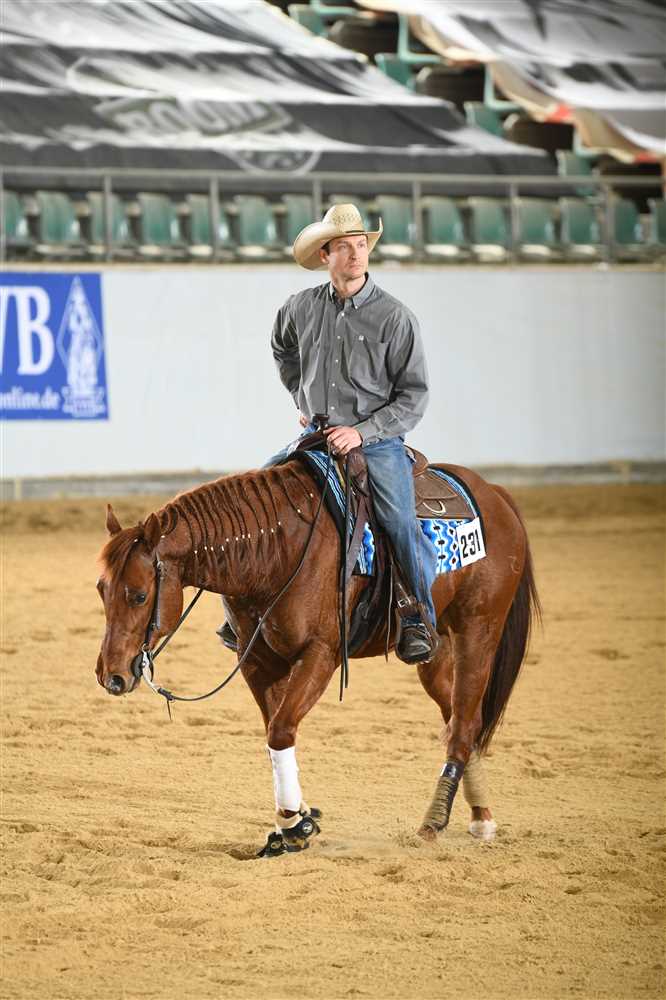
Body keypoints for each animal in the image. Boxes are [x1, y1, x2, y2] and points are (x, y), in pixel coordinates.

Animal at [95, 456, 540, 853]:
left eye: (139, 595)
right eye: (101, 589)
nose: (110, 675)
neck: (274, 550)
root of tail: (495, 494)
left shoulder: (321, 654)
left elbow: (280, 729)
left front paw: (292, 826)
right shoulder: (257, 659)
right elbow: (275, 729)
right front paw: (298, 816)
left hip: (478, 631)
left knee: (464, 723)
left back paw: (432, 822)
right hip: (436, 651)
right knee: (462, 718)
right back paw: (481, 817)